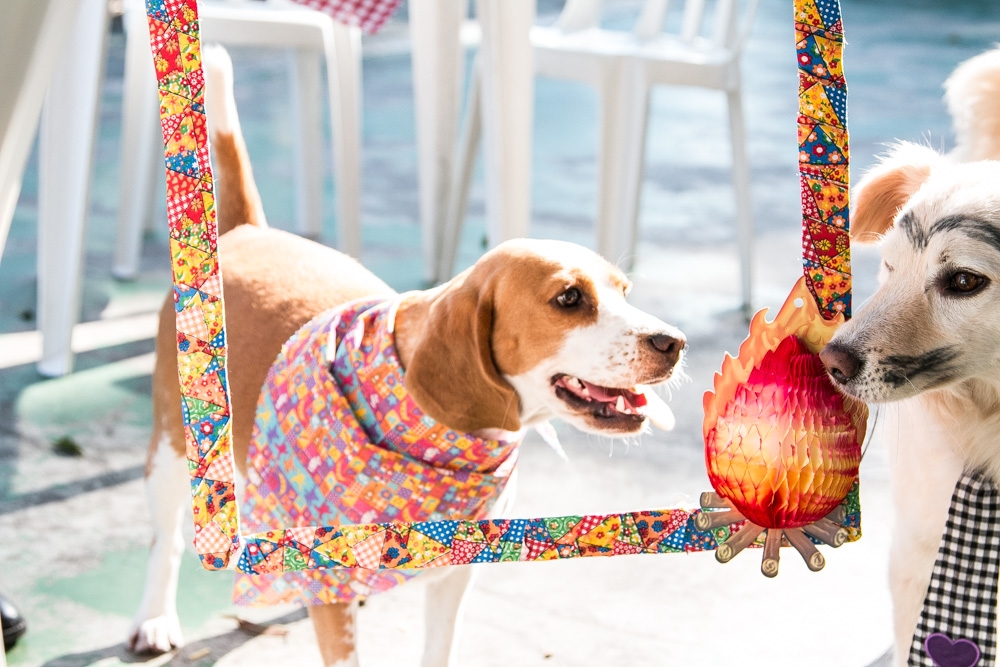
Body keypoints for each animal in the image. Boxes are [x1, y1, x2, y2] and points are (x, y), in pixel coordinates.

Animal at [125, 44, 688, 664]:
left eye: (625, 292)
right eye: (569, 298)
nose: (673, 342)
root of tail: (246, 231)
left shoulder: (454, 574)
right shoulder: (332, 592)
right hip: (173, 451)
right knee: (169, 539)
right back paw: (154, 617)